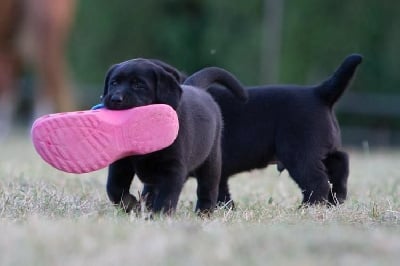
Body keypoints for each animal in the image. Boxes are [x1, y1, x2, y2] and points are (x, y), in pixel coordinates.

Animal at [101, 58, 248, 214]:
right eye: (114, 83)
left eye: (138, 84)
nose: (115, 99)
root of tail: (197, 88)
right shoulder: (121, 163)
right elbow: (114, 188)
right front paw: (132, 205)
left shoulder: (172, 167)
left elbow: (167, 196)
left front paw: (159, 215)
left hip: (211, 160)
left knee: (207, 189)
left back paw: (204, 212)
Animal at [208, 53, 364, 206]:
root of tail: (318, 93)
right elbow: (221, 190)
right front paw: (225, 207)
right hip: (322, 150)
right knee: (340, 162)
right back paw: (335, 201)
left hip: (300, 154)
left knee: (317, 180)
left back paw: (308, 206)